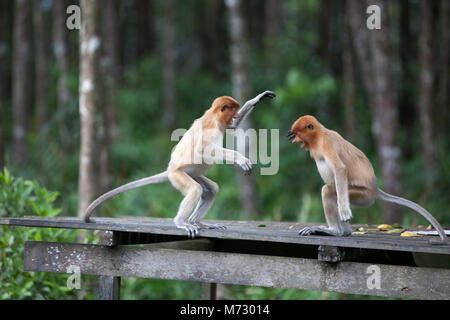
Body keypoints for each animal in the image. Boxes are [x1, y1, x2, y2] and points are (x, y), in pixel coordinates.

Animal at [82, 90, 276, 238]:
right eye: (232, 111)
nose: (235, 115)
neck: (213, 115)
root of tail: (170, 169)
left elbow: (232, 127)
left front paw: (258, 98)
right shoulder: (212, 129)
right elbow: (203, 151)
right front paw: (242, 160)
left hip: (193, 173)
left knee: (211, 189)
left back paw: (198, 222)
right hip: (179, 175)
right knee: (195, 189)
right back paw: (183, 223)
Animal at [288, 116, 446, 244]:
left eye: (297, 134)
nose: (293, 139)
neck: (318, 135)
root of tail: (375, 188)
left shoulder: (326, 143)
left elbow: (340, 169)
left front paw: (344, 211)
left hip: (363, 195)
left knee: (328, 190)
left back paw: (335, 231)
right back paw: (344, 232)